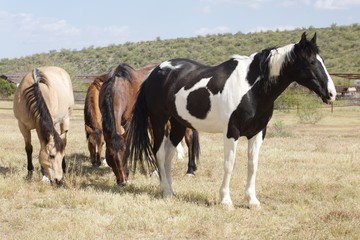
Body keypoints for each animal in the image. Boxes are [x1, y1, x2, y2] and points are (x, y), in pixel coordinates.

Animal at [129, 32, 338, 208]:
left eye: (322, 60)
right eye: (311, 62)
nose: (331, 94)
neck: (252, 88)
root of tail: (155, 72)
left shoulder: (258, 133)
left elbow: (253, 165)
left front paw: (252, 201)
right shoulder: (232, 131)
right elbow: (229, 164)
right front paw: (226, 200)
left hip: (178, 123)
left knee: (170, 154)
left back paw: (170, 191)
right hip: (158, 120)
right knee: (159, 153)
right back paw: (165, 191)